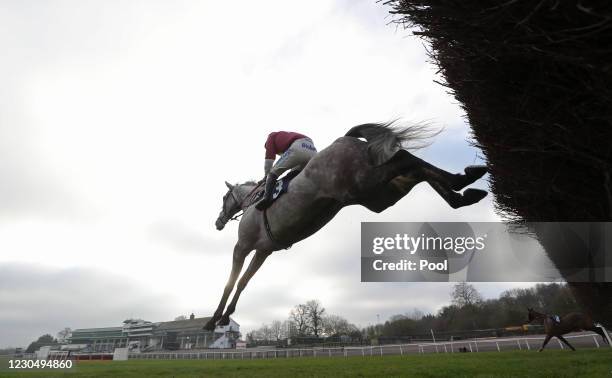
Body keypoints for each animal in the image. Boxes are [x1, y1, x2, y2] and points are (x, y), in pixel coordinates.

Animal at [202, 122, 488, 330]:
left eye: (224, 198)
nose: (218, 222)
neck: (251, 203)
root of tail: (345, 139)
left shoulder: (243, 246)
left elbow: (230, 282)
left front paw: (213, 320)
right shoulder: (263, 251)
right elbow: (243, 282)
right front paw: (225, 317)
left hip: (365, 183)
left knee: (405, 159)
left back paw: (462, 181)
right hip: (377, 197)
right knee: (413, 171)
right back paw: (464, 186)